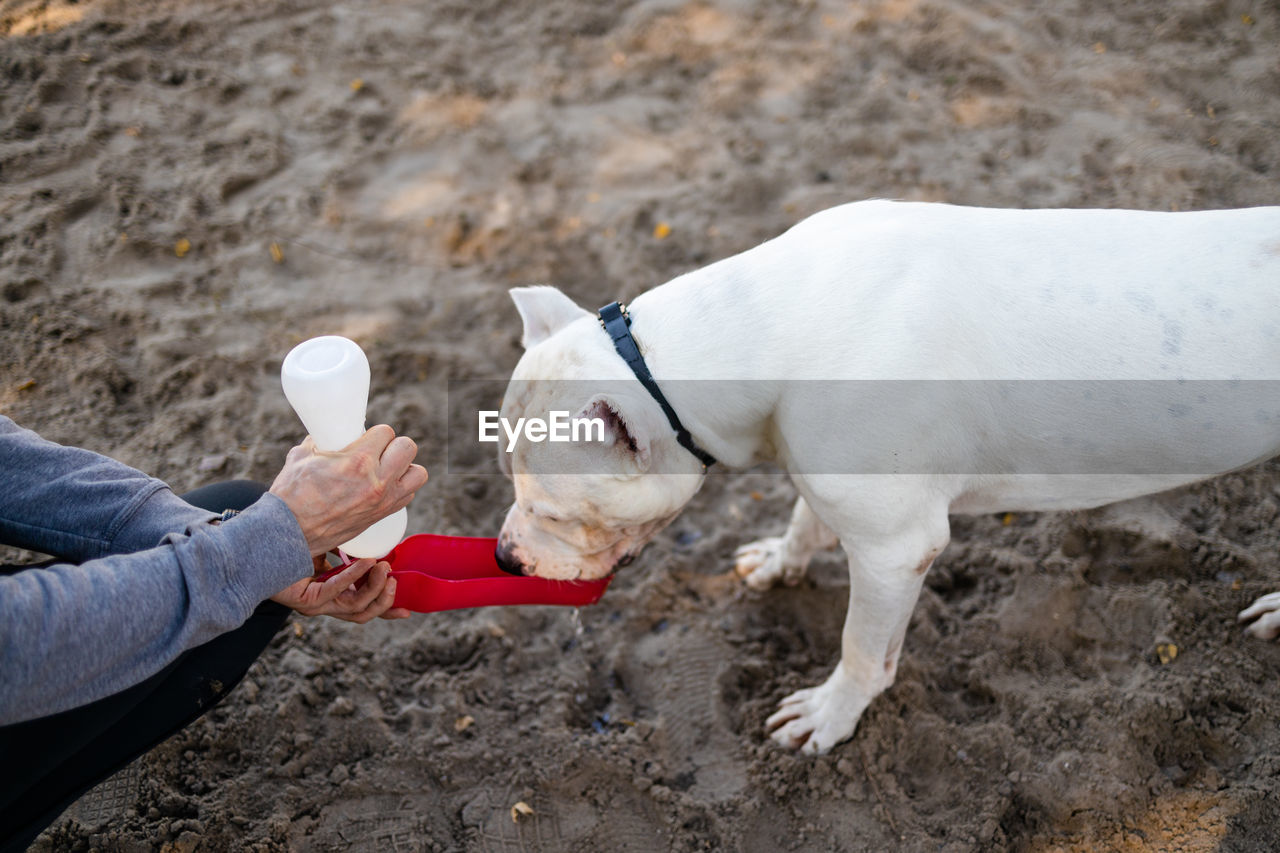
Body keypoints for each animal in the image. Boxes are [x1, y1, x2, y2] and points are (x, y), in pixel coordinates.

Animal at [488, 202, 1280, 753]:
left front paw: (829, 715)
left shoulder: (896, 550)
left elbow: (863, 650)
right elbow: (804, 518)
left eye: (554, 511)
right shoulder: (830, 473)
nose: (504, 557)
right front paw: (781, 560)